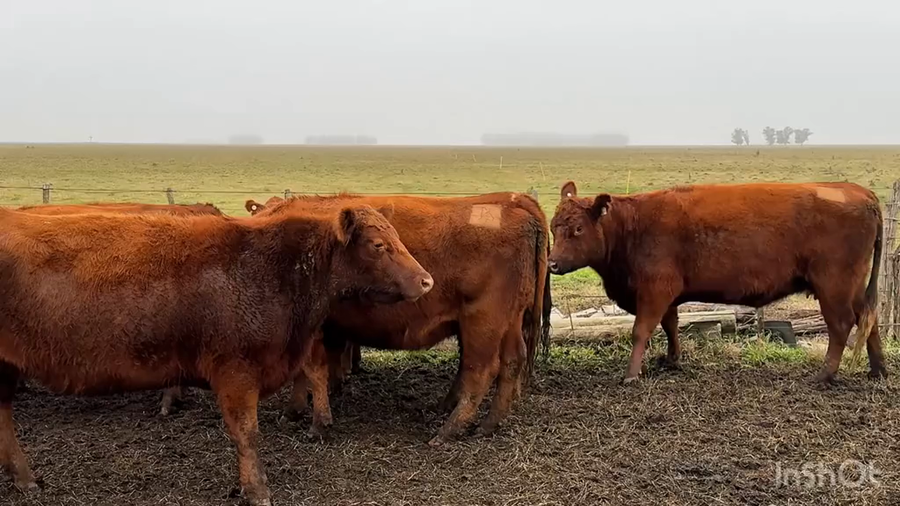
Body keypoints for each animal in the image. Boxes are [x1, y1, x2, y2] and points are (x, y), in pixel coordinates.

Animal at [0, 205, 432, 505]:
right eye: (378, 245)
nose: (426, 280)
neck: (273, 270)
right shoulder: (236, 371)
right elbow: (247, 433)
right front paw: (257, 490)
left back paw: (22, 477)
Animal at [239, 192, 551, 445]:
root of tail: (516, 206)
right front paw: (297, 409)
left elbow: (312, 370)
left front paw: (314, 422)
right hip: (508, 323)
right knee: (510, 363)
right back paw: (487, 424)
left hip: (483, 321)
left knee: (481, 370)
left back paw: (448, 430)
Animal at [547, 180, 885, 384]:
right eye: (553, 227)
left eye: (578, 229)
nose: (552, 263)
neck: (633, 226)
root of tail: (858, 191)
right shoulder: (667, 295)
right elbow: (671, 325)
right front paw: (672, 360)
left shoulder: (655, 289)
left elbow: (641, 331)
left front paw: (631, 374)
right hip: (853, 286)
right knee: (869, 320)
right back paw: (877, 369)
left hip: (833, 285)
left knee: (841, 325)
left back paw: (824, 374)